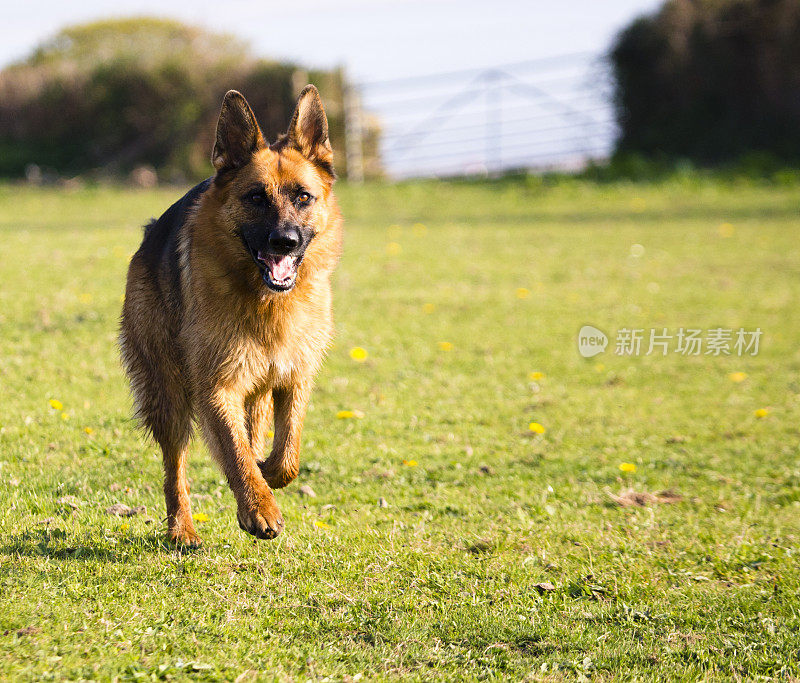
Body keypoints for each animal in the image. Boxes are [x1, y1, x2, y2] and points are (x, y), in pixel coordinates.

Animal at [119, 85, 340, 548]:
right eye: (256, 197)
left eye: (303, 197)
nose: (285, 241)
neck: (266, 302)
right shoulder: (217, 387)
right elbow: (236, 454)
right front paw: (260, 510)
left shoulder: (293, 377)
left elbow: (286, 454)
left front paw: (266, 477)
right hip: (168, 394)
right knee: (175, 467)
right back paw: (182, 528)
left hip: (253, 392)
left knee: (253, 433)